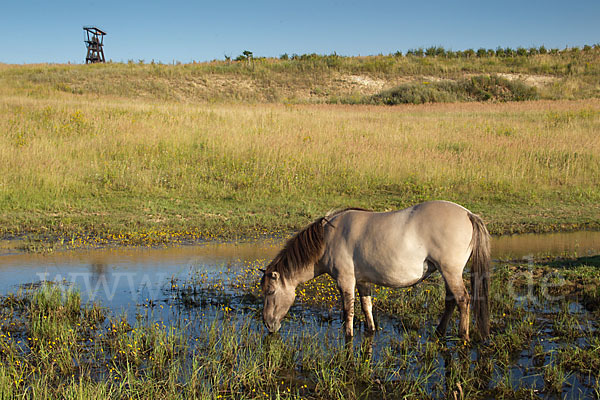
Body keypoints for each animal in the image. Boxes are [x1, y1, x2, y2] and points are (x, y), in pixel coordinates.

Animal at [260, 200, 490, 340]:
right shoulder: (363, 282)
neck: (327, 238)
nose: (267, 324)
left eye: (270, 291)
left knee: (462, 300)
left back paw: (463, 337)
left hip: (451, 272)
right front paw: (370, 331)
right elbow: (366, 307)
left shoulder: (345, 281)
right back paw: (440, 332)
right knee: (451, 301)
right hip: (447, 273)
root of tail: (468, 214)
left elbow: (348, 311)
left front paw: (348, 336)